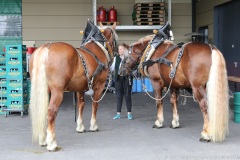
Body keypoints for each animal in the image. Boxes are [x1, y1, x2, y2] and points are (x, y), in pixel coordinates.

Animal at [29, 21, 118, 151]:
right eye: (115, 38)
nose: (116, 54)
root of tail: (47, 47)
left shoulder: (80, 88)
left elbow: (81, 105)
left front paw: (80, 126)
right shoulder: (99, 86)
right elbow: (95, 105)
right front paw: (93, 126)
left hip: (44, 91)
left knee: (43, 111)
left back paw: (43, 140)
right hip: (57, 92)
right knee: (51, 111)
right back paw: (52, 143)